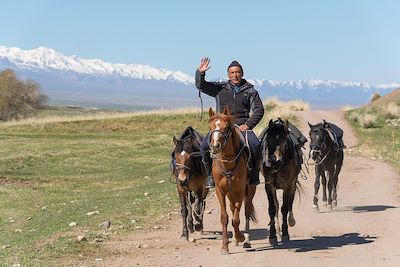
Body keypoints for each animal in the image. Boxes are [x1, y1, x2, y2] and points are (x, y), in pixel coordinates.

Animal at [206, 107, 256, 255]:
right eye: (210, 127)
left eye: (226, 127)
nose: (215, 146)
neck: (228, 164)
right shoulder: (220, 191)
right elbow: (225, 217)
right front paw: (224, 246)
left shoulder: (240, 191)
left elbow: (236, 218)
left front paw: (240, 237)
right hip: (230, 194)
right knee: (232, 208)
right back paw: (234, 240)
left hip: (249, 190)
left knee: (246, 211)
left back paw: (245, 240)